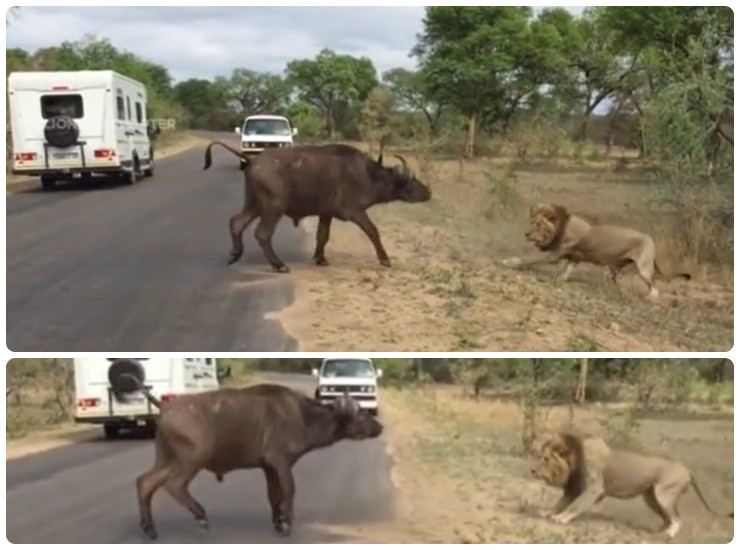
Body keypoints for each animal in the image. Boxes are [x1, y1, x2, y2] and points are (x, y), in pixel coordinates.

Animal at [127, 378, 382, 540]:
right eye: (361, 415)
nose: (379, 427)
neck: (302, 415)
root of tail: (166, 408)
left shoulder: (268, 467)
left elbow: (273, 496)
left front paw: (278, 521)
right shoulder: (281, 462)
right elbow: (289, 491)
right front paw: (287, 524)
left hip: (166, 460)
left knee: (144, 482)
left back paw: (149, 528)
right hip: (190, 461)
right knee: (173, 485)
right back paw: (200, 516)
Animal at [204, 141, 434, 272]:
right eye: (411, 181)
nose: (428, 192)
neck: (368, 175)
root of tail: (252, 160)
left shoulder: (326, 213)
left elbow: (322, 235)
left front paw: (320, 258)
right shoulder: (355, 212)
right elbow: (373, 231)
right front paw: (385, 259)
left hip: (254, 204)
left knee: (236, 222)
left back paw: (235, 254)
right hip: (272, 207)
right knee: (262, 234)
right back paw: (279, 265)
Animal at [500, 204, 692, 302]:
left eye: (539, 225)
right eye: (532, 222)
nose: (526, 234)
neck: (560, 228)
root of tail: (650, 238)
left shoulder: (553, 255)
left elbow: (529, 259)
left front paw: (509, 262)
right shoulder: (574, 257)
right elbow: (567, 269)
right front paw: (561, 279)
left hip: (643, 267)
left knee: (653, 286)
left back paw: (650, 297)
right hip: (615, 268)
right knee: (618, 281)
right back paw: (617, 292)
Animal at [532, 432, 716, 540]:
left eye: (546, 459)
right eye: (539, 456)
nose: (532, 470)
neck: (574, 461)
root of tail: (686, 468)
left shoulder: (593, 490)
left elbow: (574, 506)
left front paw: (561, 518)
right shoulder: (574, 487)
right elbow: (560, 503)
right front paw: (547, 512)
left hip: (664, 495)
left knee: (677, 518)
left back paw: (669, 534)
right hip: (651, 498)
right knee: (667, 518)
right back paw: (658, 532)